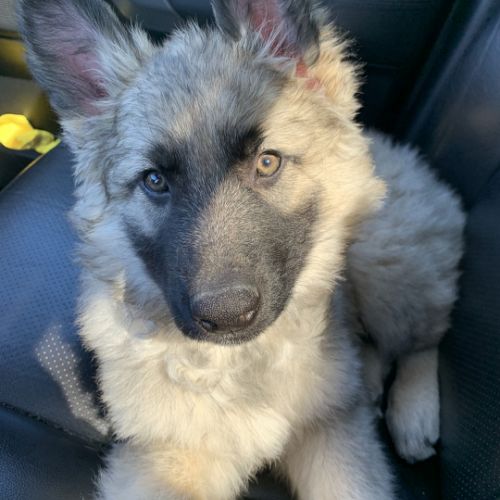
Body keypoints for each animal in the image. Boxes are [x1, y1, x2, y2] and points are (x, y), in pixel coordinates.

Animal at [19, 0, 464, 498]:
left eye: (267, 162)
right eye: (154, 180)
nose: (227, 316)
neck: (242, 364)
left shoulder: (335, 435)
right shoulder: (168, 457)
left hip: (386, 258)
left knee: (424, 338)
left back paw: (414, 414)